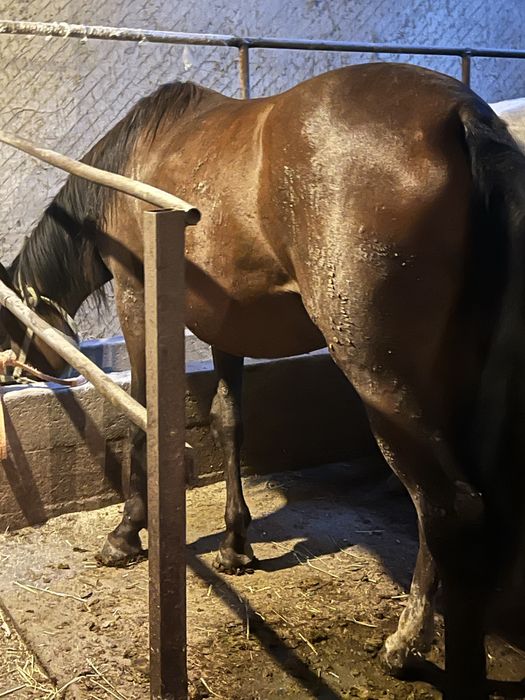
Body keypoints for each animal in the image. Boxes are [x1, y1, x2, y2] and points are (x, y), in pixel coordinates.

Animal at [1, 62, 525, 699]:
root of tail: (458, 113)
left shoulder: (138, 302)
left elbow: (143, 419)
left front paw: (126, 534)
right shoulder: (227, 323)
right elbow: (229, 424)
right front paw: (235, 546)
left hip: (383, 379)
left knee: (446, 506)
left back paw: (406, 645)